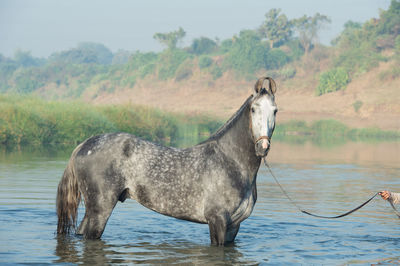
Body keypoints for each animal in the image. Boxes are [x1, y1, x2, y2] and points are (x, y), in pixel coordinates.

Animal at [57, 76, 278, 245]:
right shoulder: (218, 221)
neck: (230, 162)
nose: (263, 147)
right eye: (254, 109)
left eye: (275, 110)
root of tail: (84, 145)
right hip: (99, 210)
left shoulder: (234, 225)